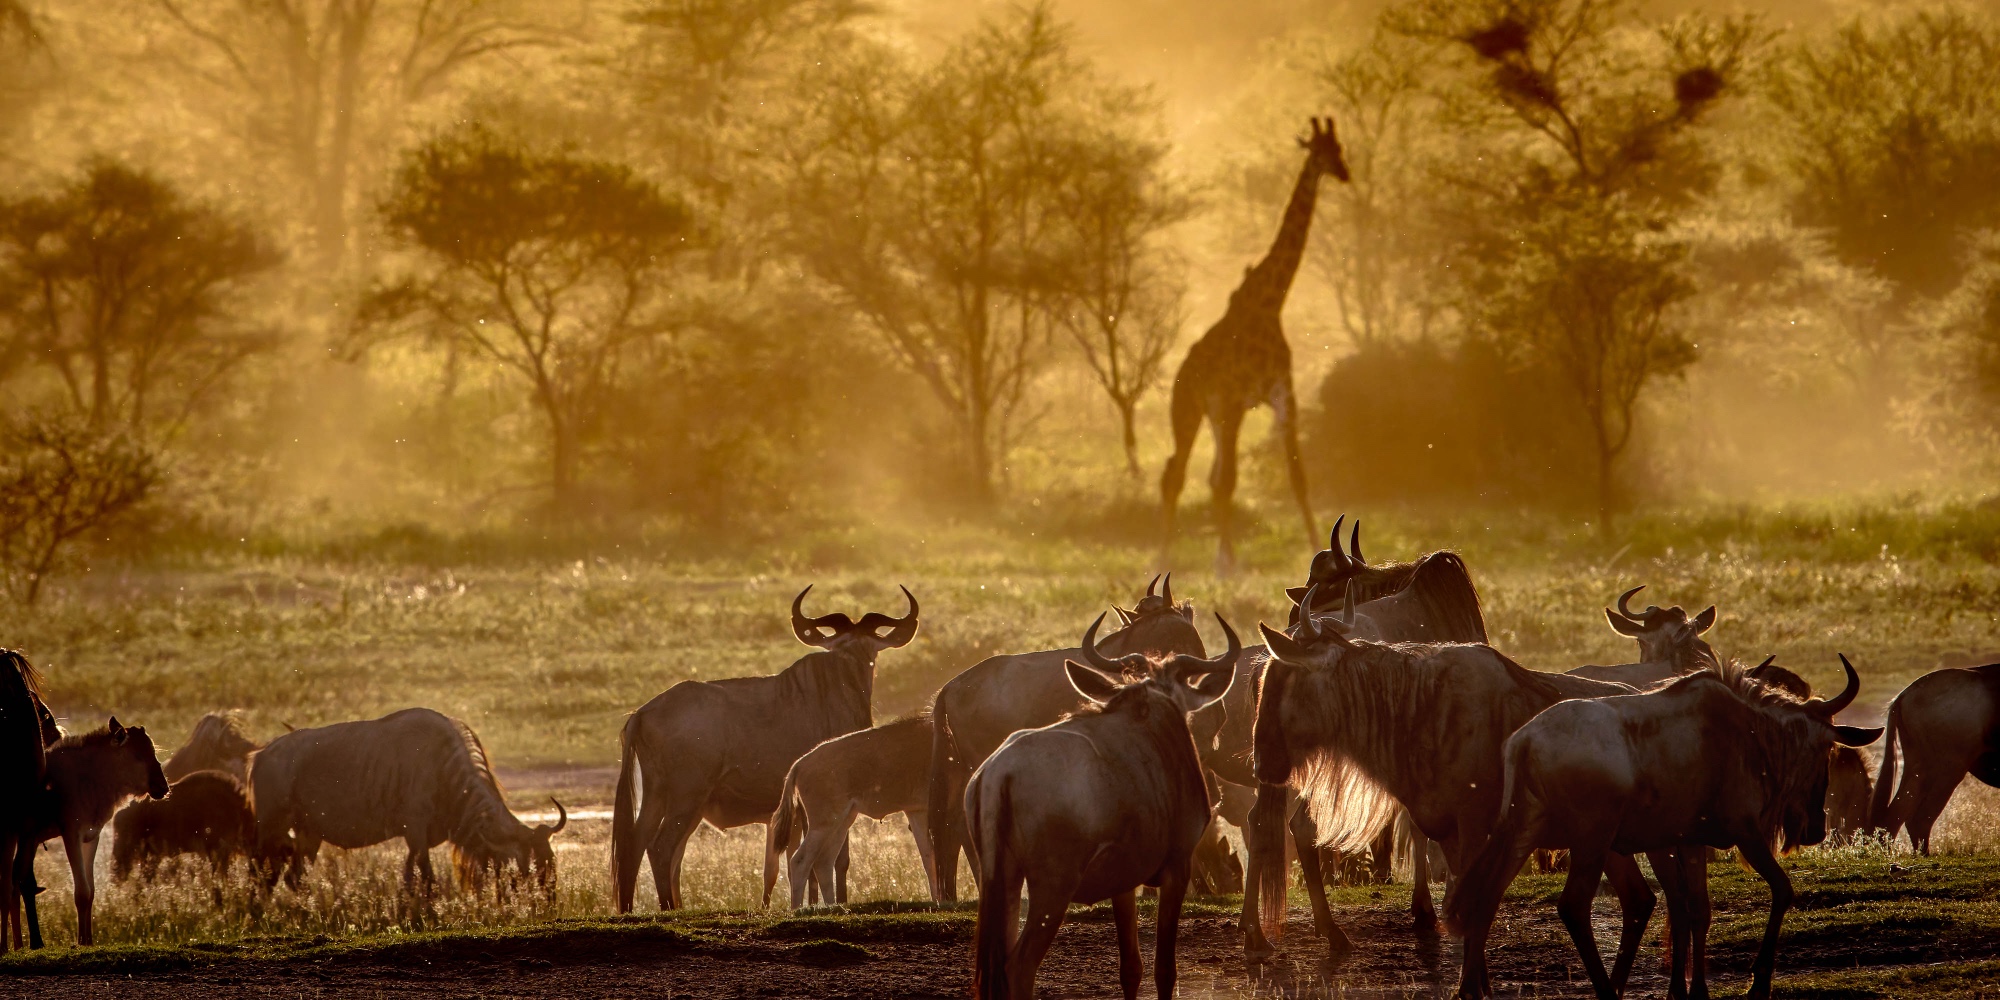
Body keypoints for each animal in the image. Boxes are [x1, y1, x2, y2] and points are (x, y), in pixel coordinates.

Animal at [1161, 117, 1349, 569]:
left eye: (1340, 148)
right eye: (1319, 152)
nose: (1344, 173)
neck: (1271, 301)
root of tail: (1180, 373)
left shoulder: (1283, 392)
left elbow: (1298, 477)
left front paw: (1317, 547)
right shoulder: (1234, 400)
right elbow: (1229, 481)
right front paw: (1228, 567)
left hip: (1213, 416)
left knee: (1206, 476)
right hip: (1190, 410)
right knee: (1177, 474)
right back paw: (1161, 562)